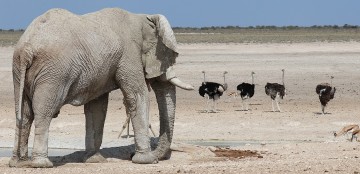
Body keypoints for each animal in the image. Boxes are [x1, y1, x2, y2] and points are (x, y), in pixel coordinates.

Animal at [9, 7, 194, 168]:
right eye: (168, 56)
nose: (130, 154)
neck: (142, 17)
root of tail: (26, 48)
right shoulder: (129, 55)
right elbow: (137, 96)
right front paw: (146, 161)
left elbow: (96, 108)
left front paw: (94, 160)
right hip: (53, 73)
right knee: (43, 112)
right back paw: (42, 164)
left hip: (19, 70)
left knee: (24, 114)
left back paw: (19, 163)